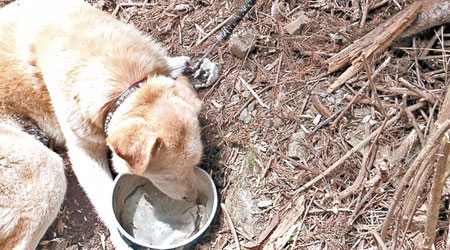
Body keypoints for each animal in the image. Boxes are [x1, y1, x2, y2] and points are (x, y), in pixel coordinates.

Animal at [0, 0, 216, 249]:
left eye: (196, 165)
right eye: (168, 175)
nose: (193, 197)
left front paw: (192, 69)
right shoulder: (83, 152)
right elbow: (104, 198)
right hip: (45, 169)